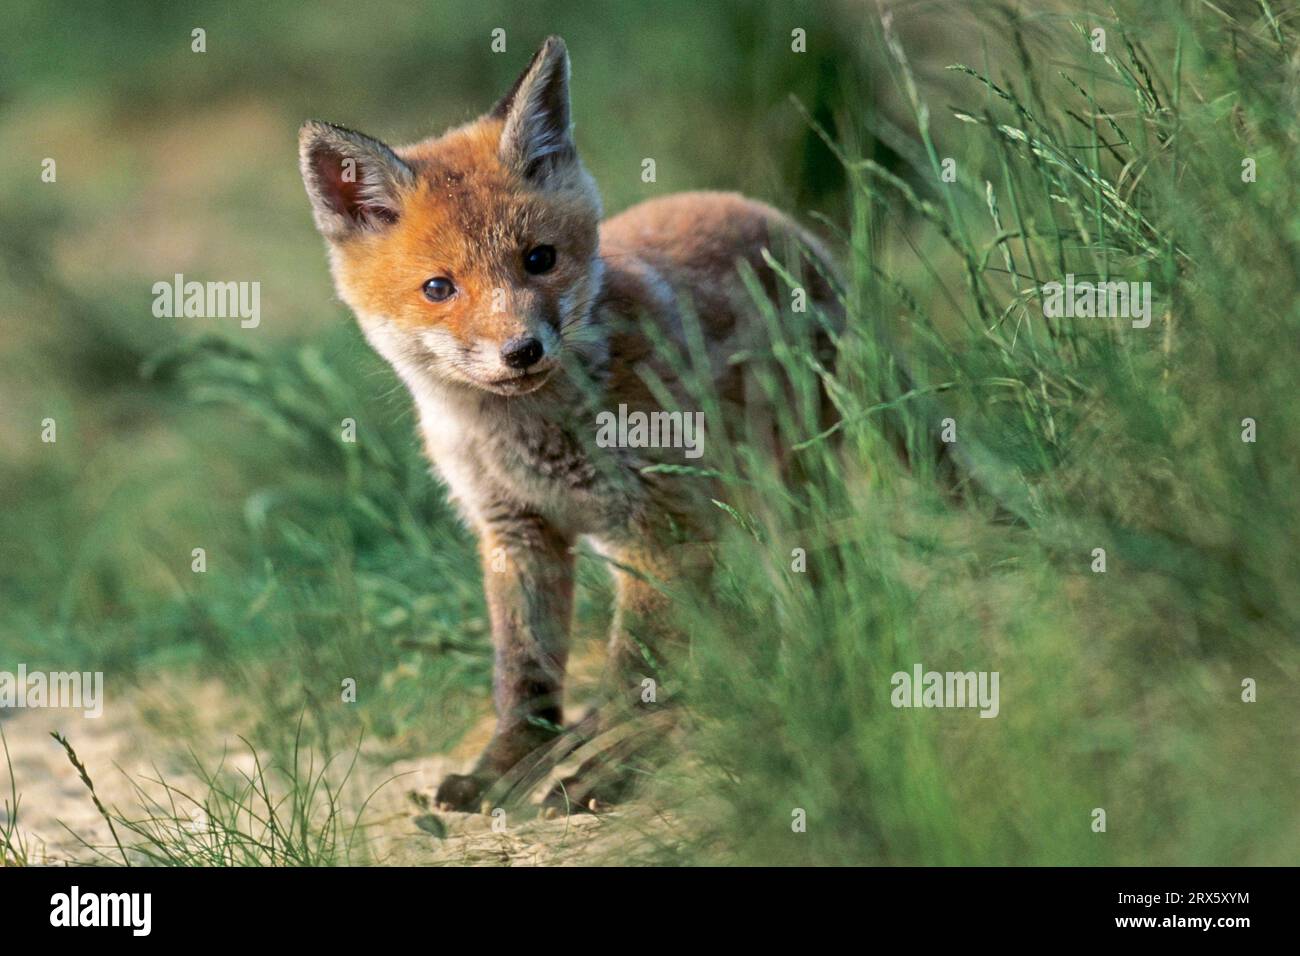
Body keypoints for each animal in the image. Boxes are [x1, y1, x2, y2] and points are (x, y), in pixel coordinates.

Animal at [299, 35, 837, 806]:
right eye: (439, 288)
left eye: (539, 259)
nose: (522, 350)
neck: (523, 438)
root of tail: (769, 213)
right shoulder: (518, 532)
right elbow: (522, 671)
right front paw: (506, 764)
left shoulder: (664, 527)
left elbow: (636, 673)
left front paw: (612, 764)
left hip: (793, 487)